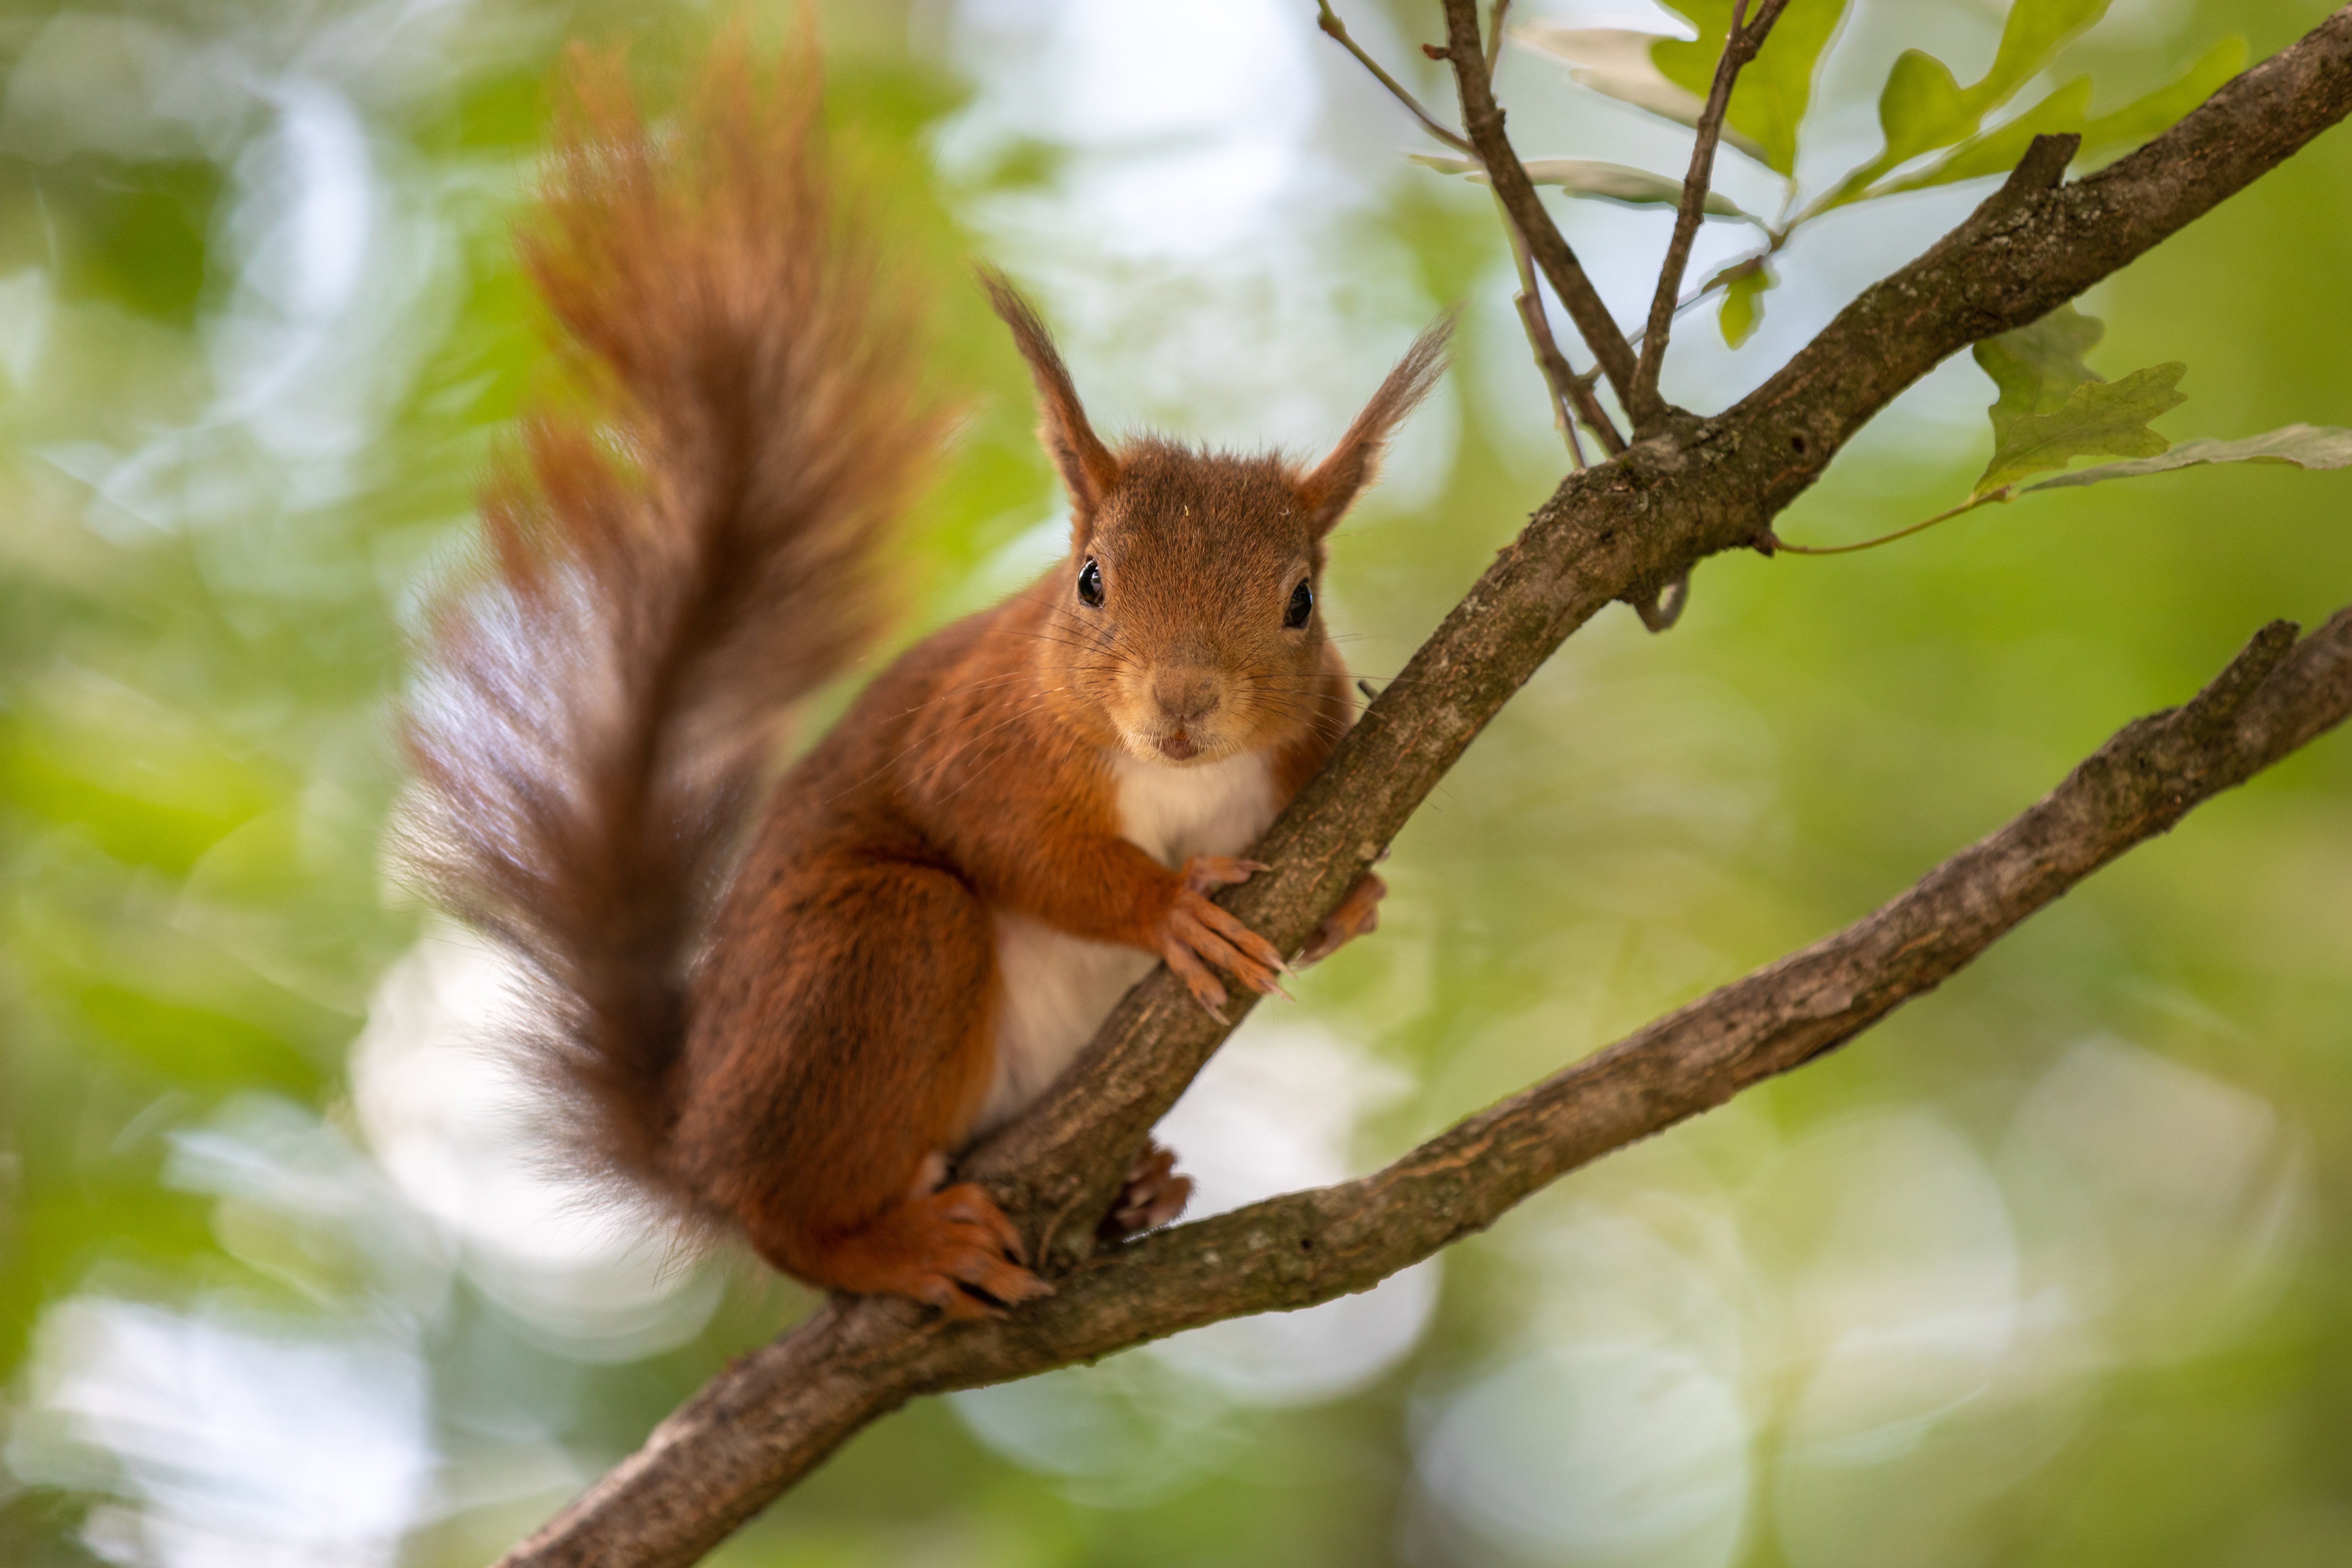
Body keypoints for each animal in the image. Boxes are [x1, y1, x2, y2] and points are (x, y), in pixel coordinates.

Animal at [395, 40, 1439, 1326]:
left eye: (1301, 604)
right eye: (1089, 579)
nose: (1182, 706)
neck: (1178, 775)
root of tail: (696, 1141)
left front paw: (1353, 900)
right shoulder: (981, 735)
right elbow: (1005, 834)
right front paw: (1166, 907)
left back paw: (1141, 1183)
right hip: (876, 952)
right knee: (793, 1209)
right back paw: (890, 1245)